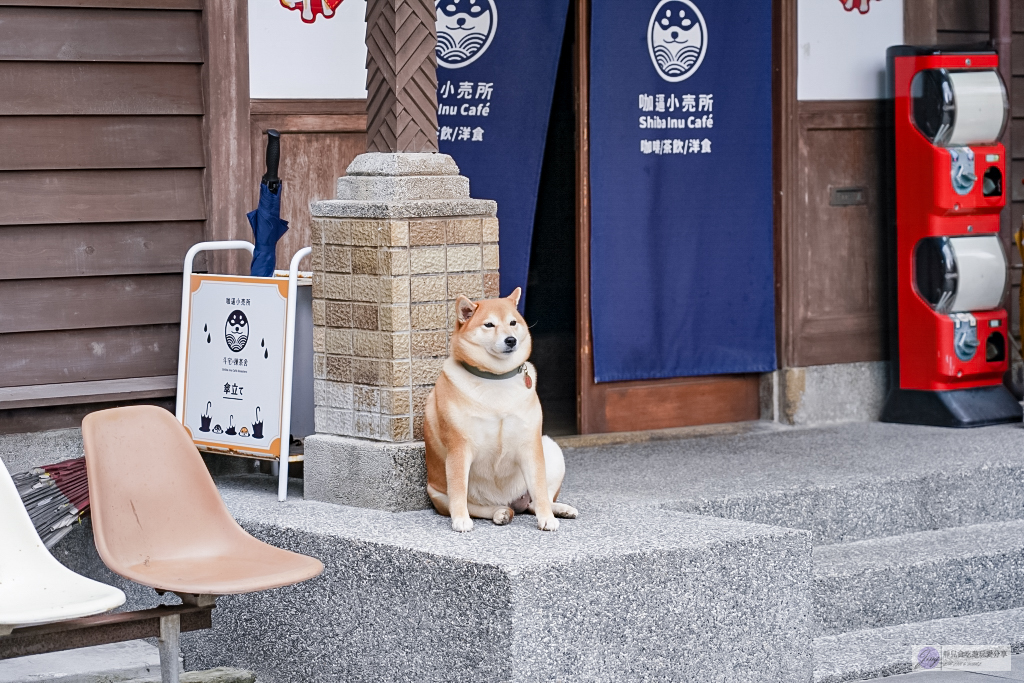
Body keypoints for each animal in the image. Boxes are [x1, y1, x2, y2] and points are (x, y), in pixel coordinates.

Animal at [421, 288, 577, 532]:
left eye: (512, 322)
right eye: (489, 325)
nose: (511, 339)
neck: (496, 378)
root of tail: (511, 501)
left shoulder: (530, 443)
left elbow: (540, 490)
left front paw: (547, 518)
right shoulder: (459, 447)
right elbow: (458, 490)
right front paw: (460, 520)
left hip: (550, 448)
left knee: (535, 502)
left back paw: (560, 509)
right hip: (438, 493)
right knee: (477, 506)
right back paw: (499, 512)